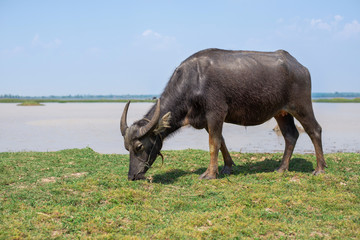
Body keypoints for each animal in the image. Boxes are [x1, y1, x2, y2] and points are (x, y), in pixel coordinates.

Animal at [121, 48, 326, 180]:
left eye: (139, 146)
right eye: (126, 148)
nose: (132, 176)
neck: (193, 82)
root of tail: (300, 67)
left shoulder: (215, 113)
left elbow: (213, 144)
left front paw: (210, 174)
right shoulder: (206, 120)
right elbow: (221, 142)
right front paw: (227, 167)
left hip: (301, 106)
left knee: (314, 130)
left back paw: (319, 169)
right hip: (281, 112)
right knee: (291, 135)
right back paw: (282, 168)